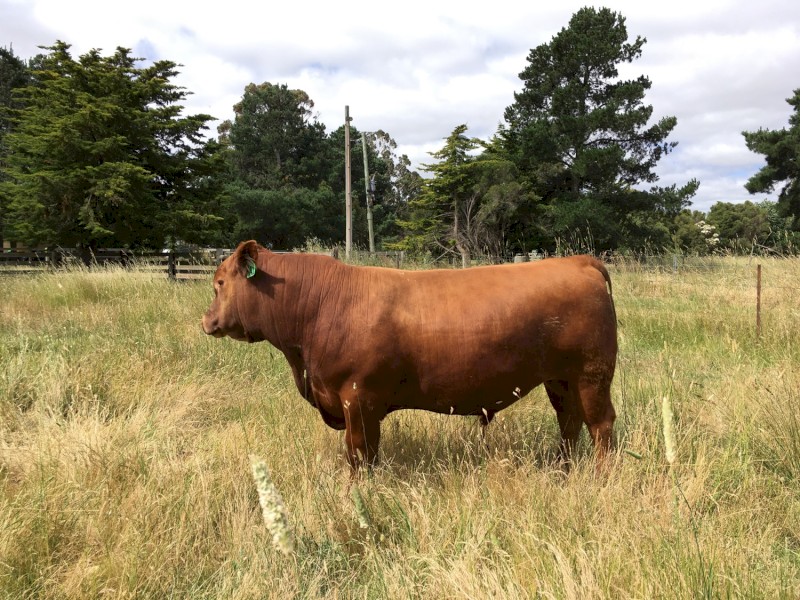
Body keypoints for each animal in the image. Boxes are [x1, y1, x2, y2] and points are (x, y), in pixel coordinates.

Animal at [202, 240, 618, 473]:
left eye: (219, 283)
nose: (207, 321)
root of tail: (578, 261)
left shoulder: (359, 399)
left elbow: (360, 453)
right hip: (560, 379)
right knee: (569, 423)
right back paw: (562, 471)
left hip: (592, 374)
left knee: (600, 425)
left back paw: (601, 477)